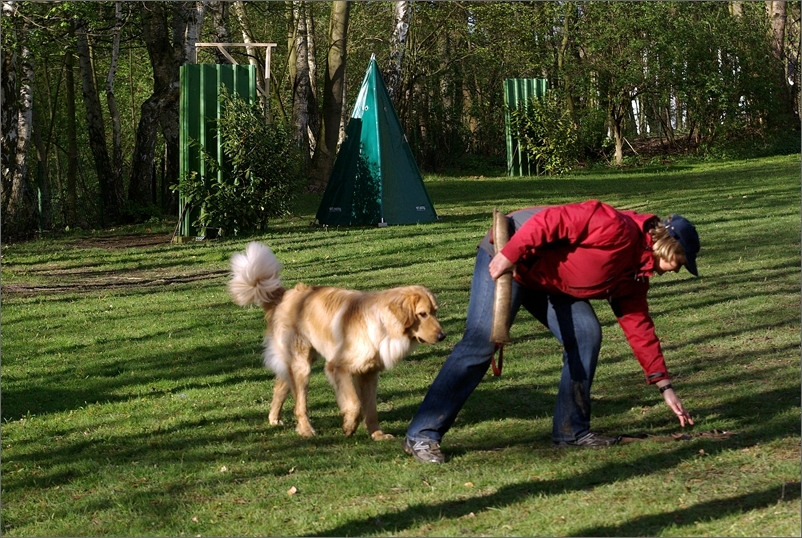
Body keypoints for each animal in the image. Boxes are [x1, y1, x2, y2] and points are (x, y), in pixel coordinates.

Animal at [230, 241, 444, 438]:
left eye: (435, 312)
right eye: (422, 314)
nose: (443, 336)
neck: (382, 323)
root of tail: (284, 294)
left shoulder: (369, 374)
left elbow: (371, 409)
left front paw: (377, 435)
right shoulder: (337, 367)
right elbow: (355, 404)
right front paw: (349, 426)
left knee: (280, 386)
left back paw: (274, 418)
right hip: (302, 366)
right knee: (299, 404)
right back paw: (306, 430)